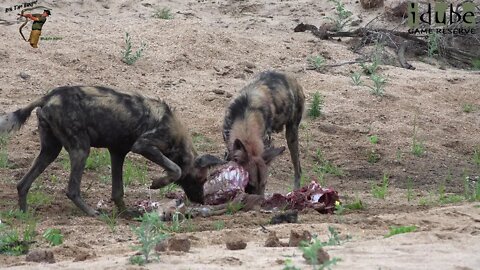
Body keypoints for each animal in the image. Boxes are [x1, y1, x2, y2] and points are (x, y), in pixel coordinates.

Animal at [0, 86, 224, 217]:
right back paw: (92, 213)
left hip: (50, 151)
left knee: (22, 184)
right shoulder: (143, 146)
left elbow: (118, 191)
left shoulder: (117, 153)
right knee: (72, 190)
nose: (201, 200)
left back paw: (24, 214)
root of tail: (49, 96)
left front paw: (126, 213)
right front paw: (158, 182)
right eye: (202, 179)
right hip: (81, 150)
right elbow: (176, 169)